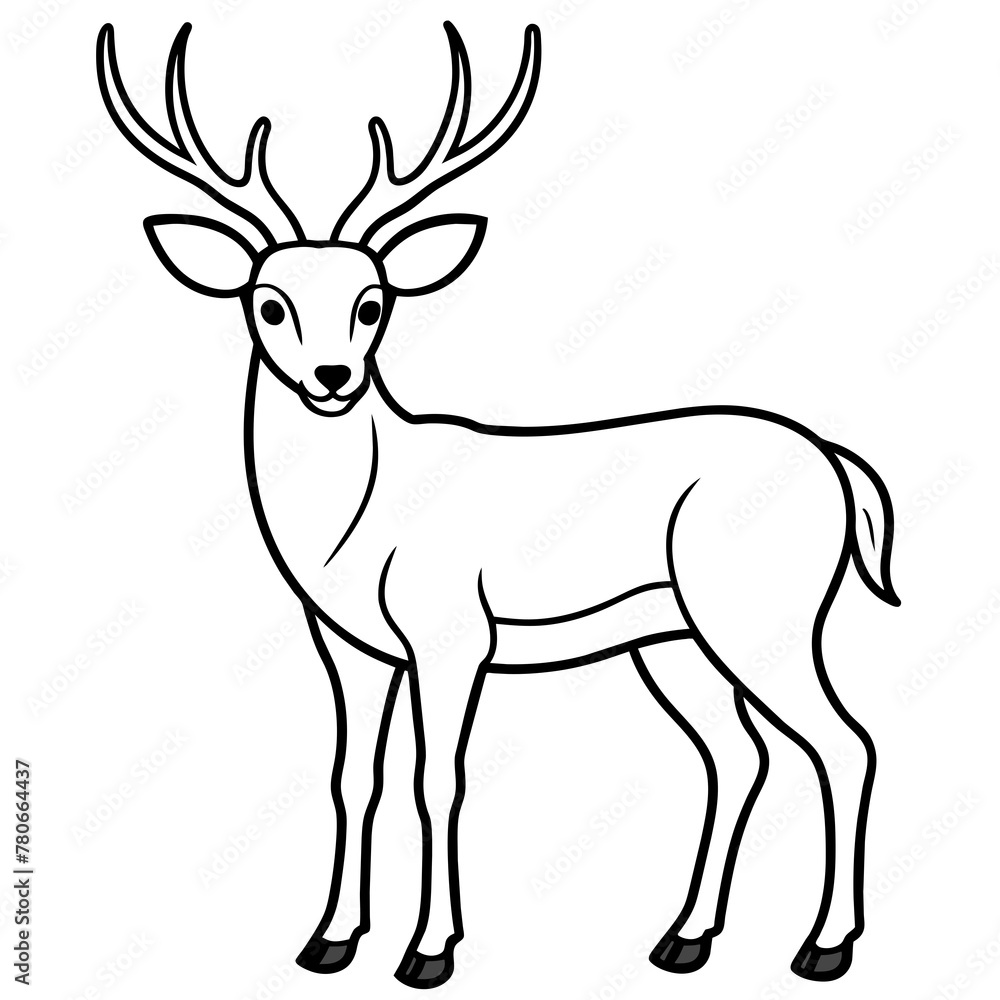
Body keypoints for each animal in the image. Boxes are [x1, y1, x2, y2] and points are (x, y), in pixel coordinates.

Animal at [97, 20, 899, 988]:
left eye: (374, 303)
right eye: (269, 302)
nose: (332, 378)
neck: (361, 523)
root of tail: (837, 464)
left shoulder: (452, 634)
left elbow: (436, 780)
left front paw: (428, 951)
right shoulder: (347, 644)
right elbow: (352, 777)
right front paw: (328, 940)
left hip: (762, 611)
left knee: (845, 743)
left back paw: (824, 948)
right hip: (671, 638)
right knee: (740, 756)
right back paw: (684, 940)